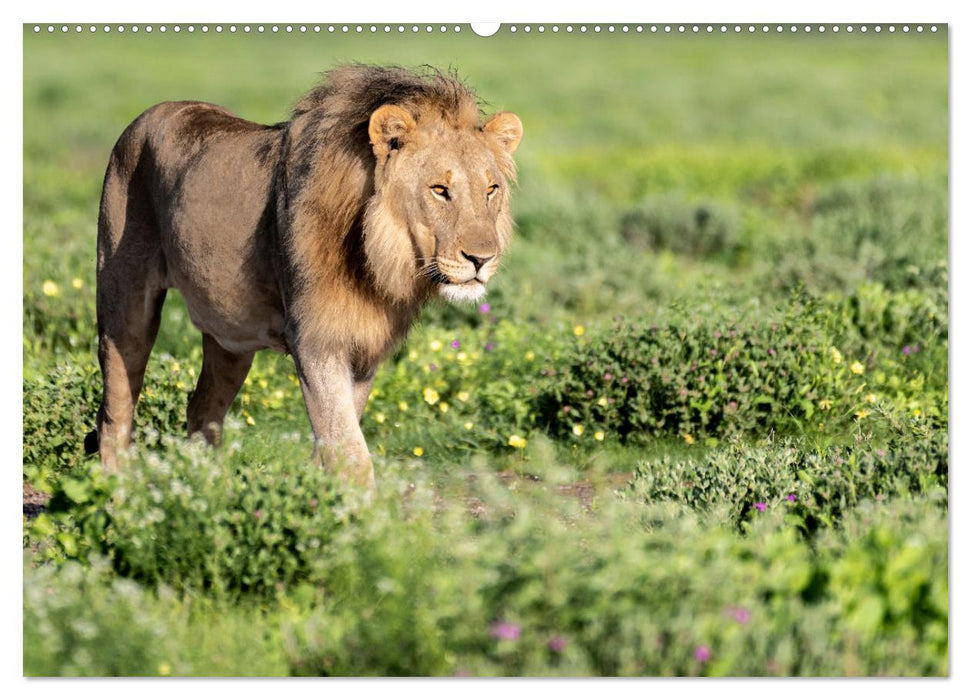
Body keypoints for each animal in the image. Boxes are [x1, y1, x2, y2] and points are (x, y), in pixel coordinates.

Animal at [89, 65, 524, 484]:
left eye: (490, 189)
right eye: (439, 190)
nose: (482, 259)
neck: (374, 256)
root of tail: (149, 113)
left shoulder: (364, 350)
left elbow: (333, 443)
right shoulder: (315, 341)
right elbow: (349, 451)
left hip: (230, 337)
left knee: (202, 411)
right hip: (124, 306)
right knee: (115, 412)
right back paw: (119, 492)